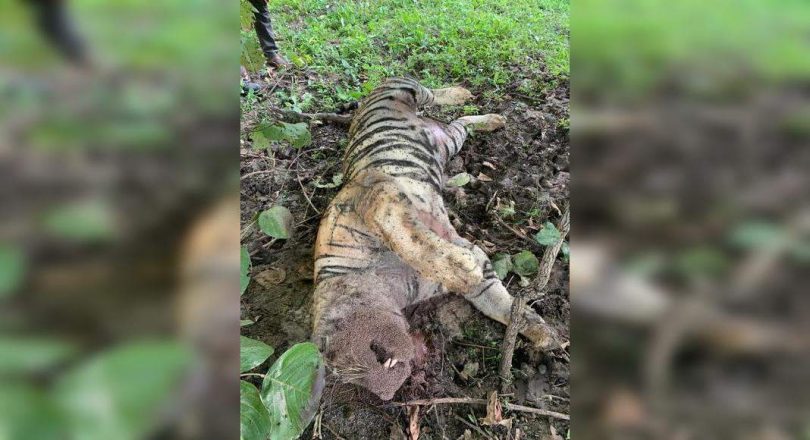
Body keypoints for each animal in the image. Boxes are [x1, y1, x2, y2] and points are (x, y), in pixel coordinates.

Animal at [311, 77, 559, 401]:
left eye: (357, 362)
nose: (386, 395)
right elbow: (502, 304)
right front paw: (544, 334)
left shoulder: (376, 199)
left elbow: (412, 241)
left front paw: (464, 266)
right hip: (451, 141)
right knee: (461, 122)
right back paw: (494, 119)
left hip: (403, 88)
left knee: (431, 93)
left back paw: (461, 93)